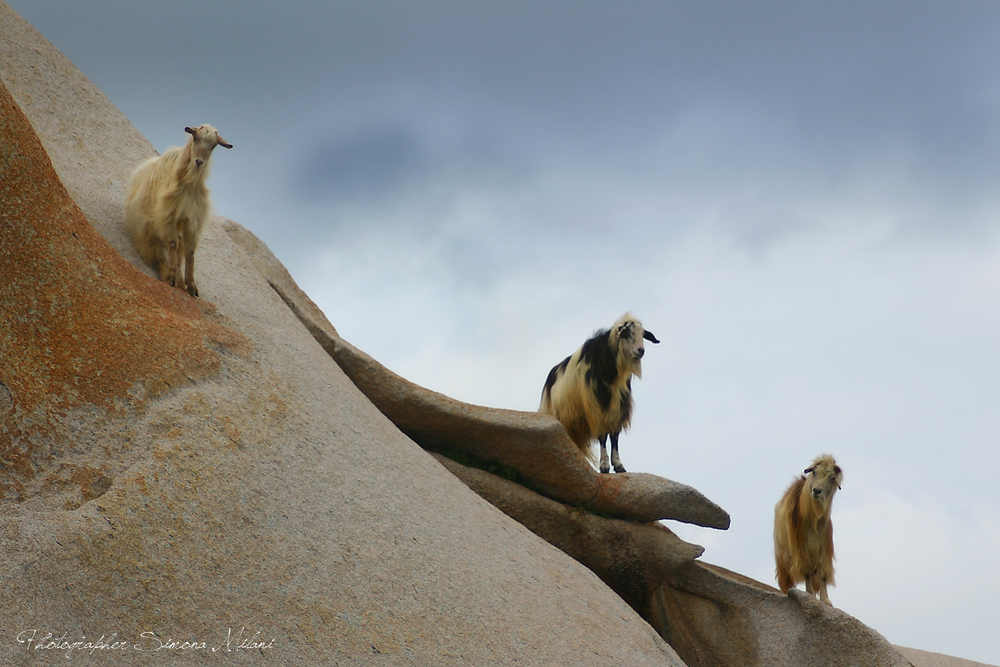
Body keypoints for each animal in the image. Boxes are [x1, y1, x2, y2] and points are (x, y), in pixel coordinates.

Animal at [125, 124, 232, 296]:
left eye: (214, 145)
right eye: (195, 138)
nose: (199, 162)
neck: (188, 185)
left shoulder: (192, 221)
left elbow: (190, 252)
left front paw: (191, 286)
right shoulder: (168, 216)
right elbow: (173, 245)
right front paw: (172, 278)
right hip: (148, 226)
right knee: (159, 252)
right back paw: (167, 274)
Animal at [540, 314, 656, 474]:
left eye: (643, 334)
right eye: (627, 333)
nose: (640, 350)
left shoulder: (618, 406)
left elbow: (614, 436)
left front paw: (618, 465)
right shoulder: (596, 407)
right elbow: (602, 436)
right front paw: (604, 466)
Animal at [772, 456, 844, 608]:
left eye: (832, 478)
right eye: (815, 472)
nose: (816, 491)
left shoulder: (823, 549)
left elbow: (822, 573)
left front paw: (826, 600)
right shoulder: (800, 550)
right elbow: (805, 572)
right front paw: (809, 594)